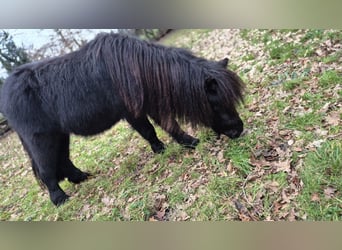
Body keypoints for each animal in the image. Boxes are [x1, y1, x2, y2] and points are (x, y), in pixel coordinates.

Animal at [0, 32, 246, 206]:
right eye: (216, 104)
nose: (238, 130)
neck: (133, 66)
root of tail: (7, 93)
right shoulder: (132, 112)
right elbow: (151, 129)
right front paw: (175, 146)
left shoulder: (149, 103)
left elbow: (165, 126)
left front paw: (179, 144)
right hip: (41, 139)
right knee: (46, 170)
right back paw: (60, 200)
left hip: (60, 135)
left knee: (63, 160)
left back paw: (82, 177)